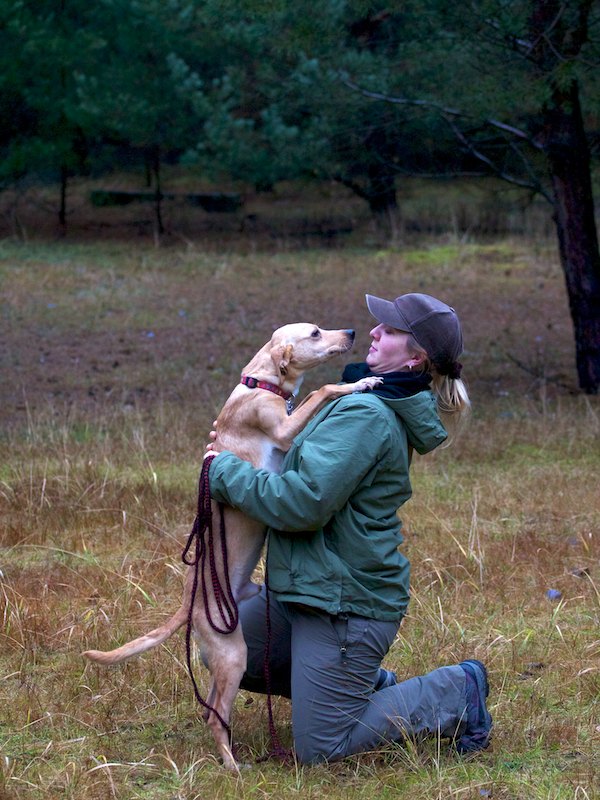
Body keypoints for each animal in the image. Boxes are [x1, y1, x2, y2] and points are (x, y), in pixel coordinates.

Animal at [83, 322, 381, 768]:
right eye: (314, 333)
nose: (351, 331)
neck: (260, 384)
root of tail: (188, 606)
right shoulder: (284, 431)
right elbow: (323, 389)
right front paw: (361, 383)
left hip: (229, 652)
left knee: (211, 707)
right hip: (232, 654)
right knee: (214, 715)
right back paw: (231, 765)